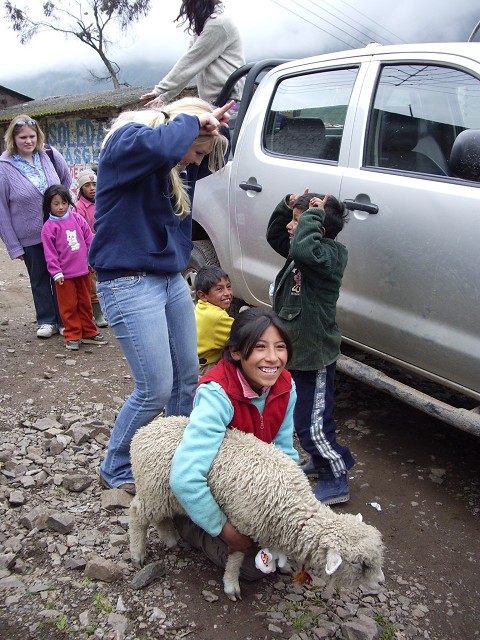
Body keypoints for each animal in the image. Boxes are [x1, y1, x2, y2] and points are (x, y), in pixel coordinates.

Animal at [129, 416, 384, 600]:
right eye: (360, 564)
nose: (381, 582)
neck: (293, 505)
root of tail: (142, 433)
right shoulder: (242, 522)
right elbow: (236, 557)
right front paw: (231, 585)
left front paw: (281, 565)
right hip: (153, 489)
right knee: (136, 514)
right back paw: (137, 553)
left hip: (162, 495)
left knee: (160, 518)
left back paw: (170, 539)